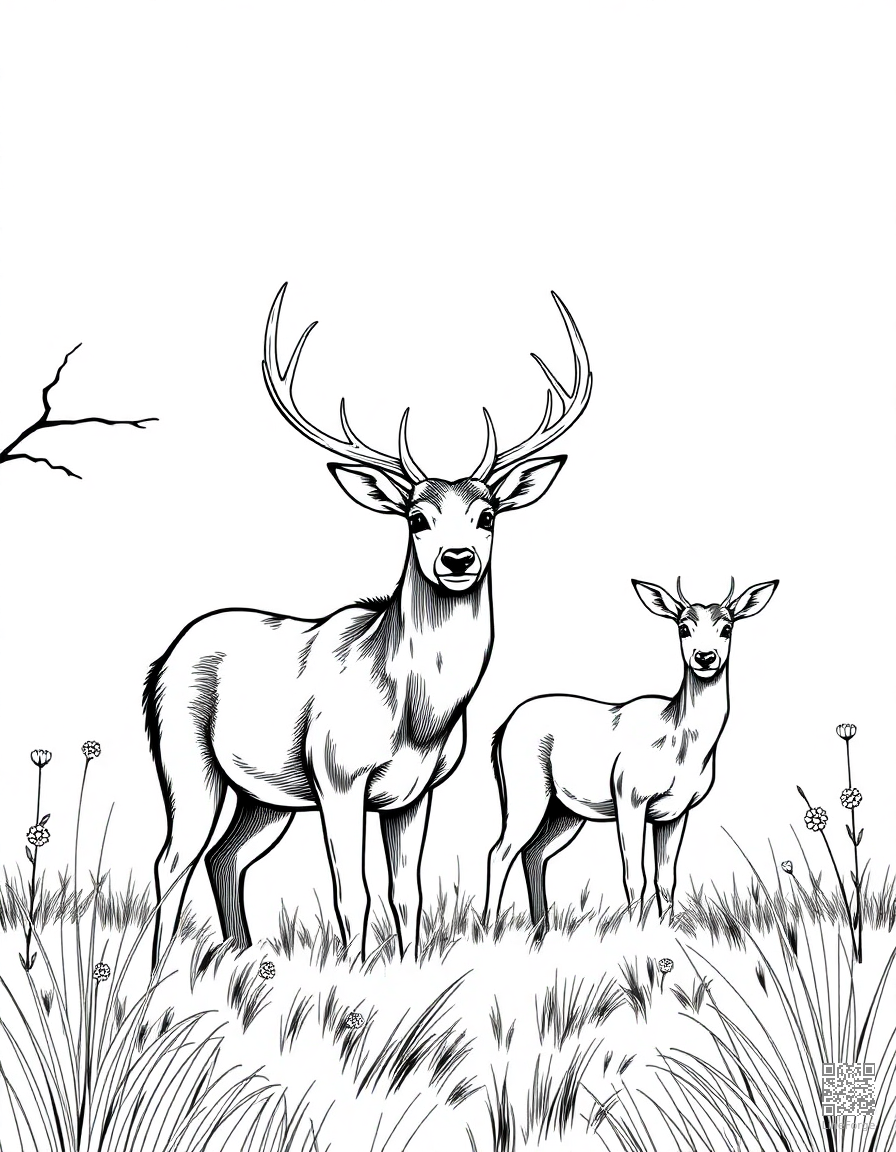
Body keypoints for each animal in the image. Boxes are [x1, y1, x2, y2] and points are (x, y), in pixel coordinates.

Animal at [145, 283, 594, 968]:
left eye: (487, 514)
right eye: (416, 516)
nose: (457, 559)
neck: (417, 715)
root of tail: (158, 665)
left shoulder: (415, 794)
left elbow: (406, 892)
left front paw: (408, 969)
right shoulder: (336, 774)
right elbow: (351, 892)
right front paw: (353, 972)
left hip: (265, 795)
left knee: (224, 857)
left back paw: (238, 956)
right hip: (185, 757)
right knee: (172, 860)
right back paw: (159, 973)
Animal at [482, 576, 778, 932]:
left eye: (727, 627)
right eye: (683, 627)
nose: (705, 657)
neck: (679, 739)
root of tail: (501, 730)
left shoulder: (675, 812)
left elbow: (666, 878)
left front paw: (666, 930)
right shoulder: (630, 796)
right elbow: (634, 876)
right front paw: (635, 931)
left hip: (565, 811)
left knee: (534, 853)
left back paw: (542, 931)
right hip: (526, 794)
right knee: (500, 851)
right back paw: (489, 929)